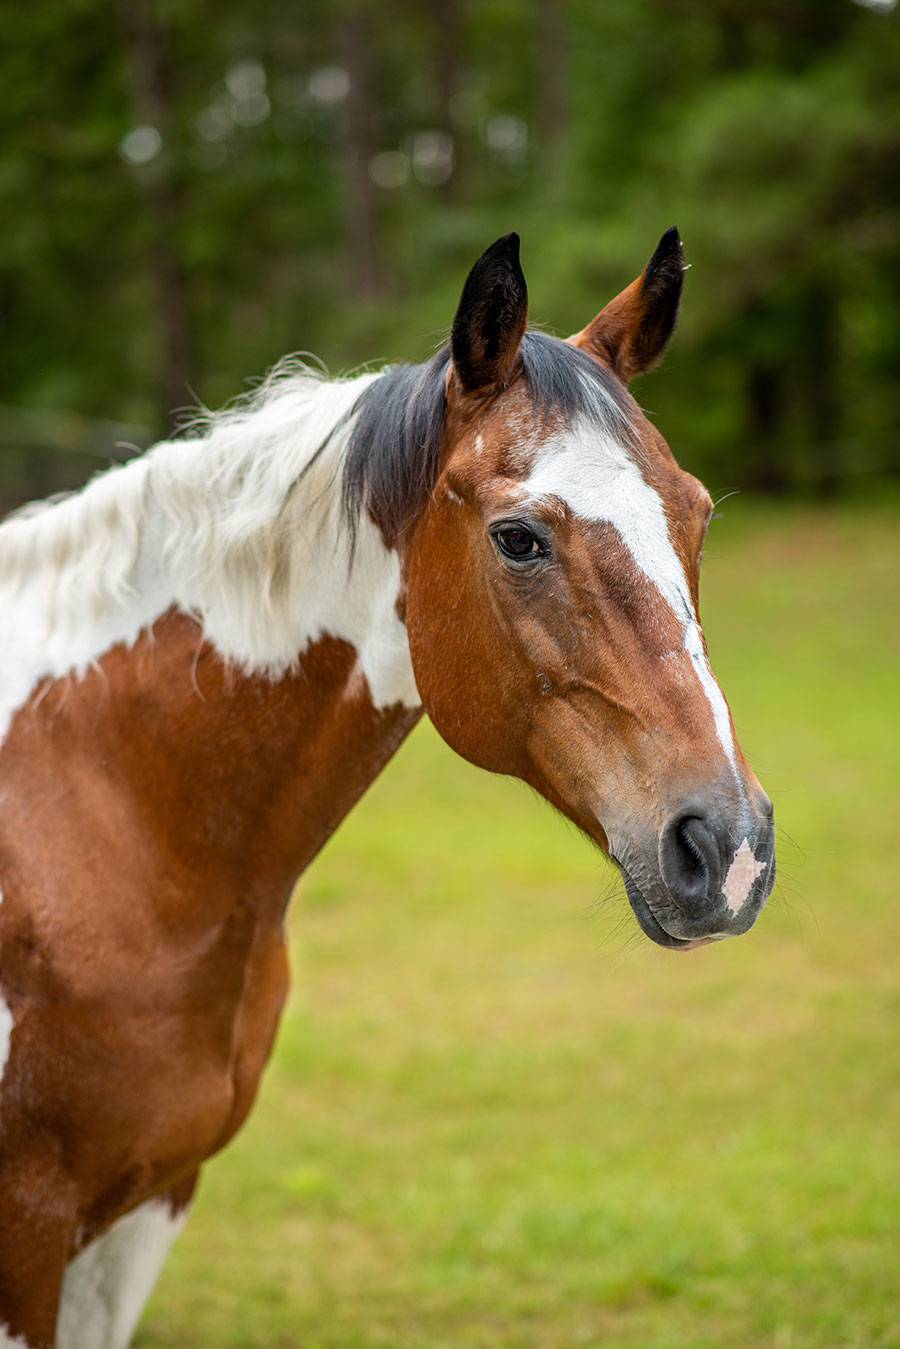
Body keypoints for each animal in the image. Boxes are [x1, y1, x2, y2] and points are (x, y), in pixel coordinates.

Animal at [0, 226, 777, 1343]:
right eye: (519, 537)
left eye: (699, 515)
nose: (730, 847)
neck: (101, 815)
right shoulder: (30, 1228)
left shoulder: (139, 1216)